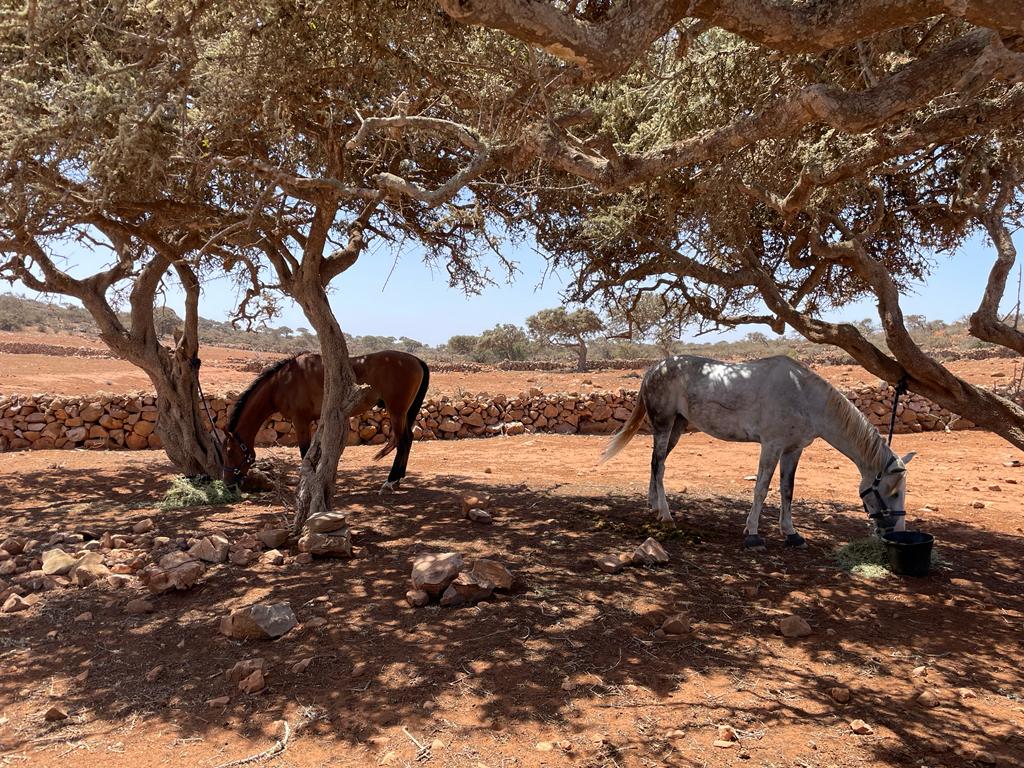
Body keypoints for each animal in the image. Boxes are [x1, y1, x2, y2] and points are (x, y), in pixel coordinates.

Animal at [221, 350, 430, 492]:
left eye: (229, 452)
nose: (227, 484)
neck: (283, 381)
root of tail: (416, 360)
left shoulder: (301, 421)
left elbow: (304, 452)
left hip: (397, 412)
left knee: (403, 442)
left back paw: (390, 481)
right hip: (404, 413)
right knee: (408, 440)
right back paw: (399, 478)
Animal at [601, 355, 914, 549]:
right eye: (892, 491)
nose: (897, 531)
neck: (804, 396)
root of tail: (655, 368)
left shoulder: (793, 450)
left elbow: (787, 491)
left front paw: (791, 534)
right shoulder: (772, 445)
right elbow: (762, 489)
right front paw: (752, 534)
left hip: (677, 426)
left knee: (655, 464)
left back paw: (654, 506)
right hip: (665, 425)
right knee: (660, 466)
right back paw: (665, 515)